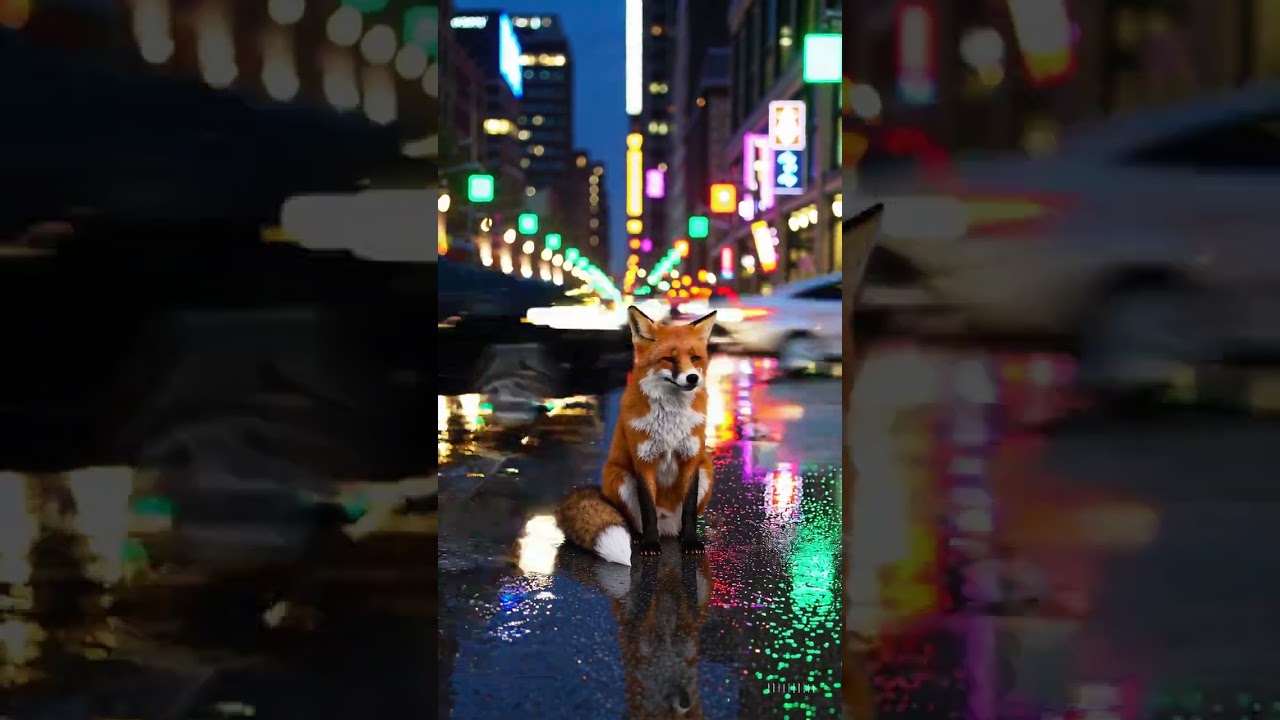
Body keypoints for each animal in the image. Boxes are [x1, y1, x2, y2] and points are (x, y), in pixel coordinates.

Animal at [556, 306, 717, 566]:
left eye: (694, 358)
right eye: (669, 359)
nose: (692, 378)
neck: (670, 420)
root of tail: (667, 528)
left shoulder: (691, 458)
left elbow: (690, 510)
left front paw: (691, 542)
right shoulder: (643, 460)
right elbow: (648, 509)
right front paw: (650, 545)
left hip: (707, 471)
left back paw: (680, 536)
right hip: (619, 477)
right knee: (634, 523)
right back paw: (642, 538)